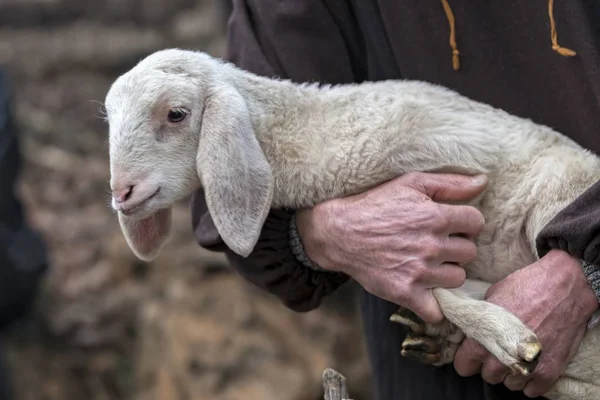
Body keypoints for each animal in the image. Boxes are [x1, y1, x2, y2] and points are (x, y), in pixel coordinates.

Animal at [103, 47, 600, 400]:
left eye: (176, 113)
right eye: (109, 118)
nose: (121, 192)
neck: (308, 131)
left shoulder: (461, 164)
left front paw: (511, 339)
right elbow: (433, 286)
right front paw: (490, 329)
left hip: (555, 190)